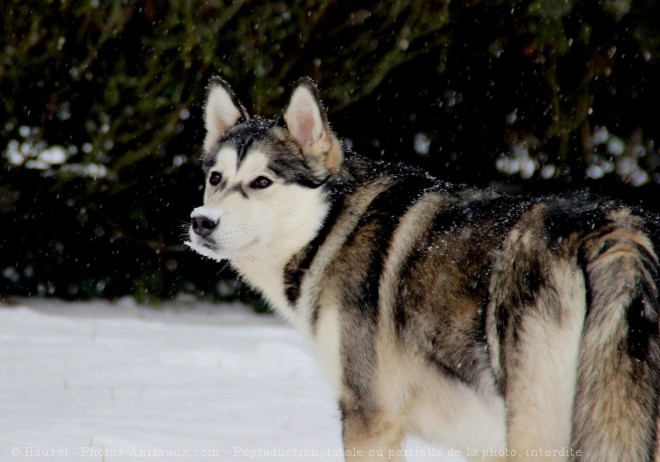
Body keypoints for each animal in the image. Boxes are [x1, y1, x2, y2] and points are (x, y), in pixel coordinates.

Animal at [186, 77, 660, 460]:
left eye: (261, 182)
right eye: (215, 178)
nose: (201, 222)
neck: (330, 227)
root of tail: (616, 233)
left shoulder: (368, 417)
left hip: (535, 428)